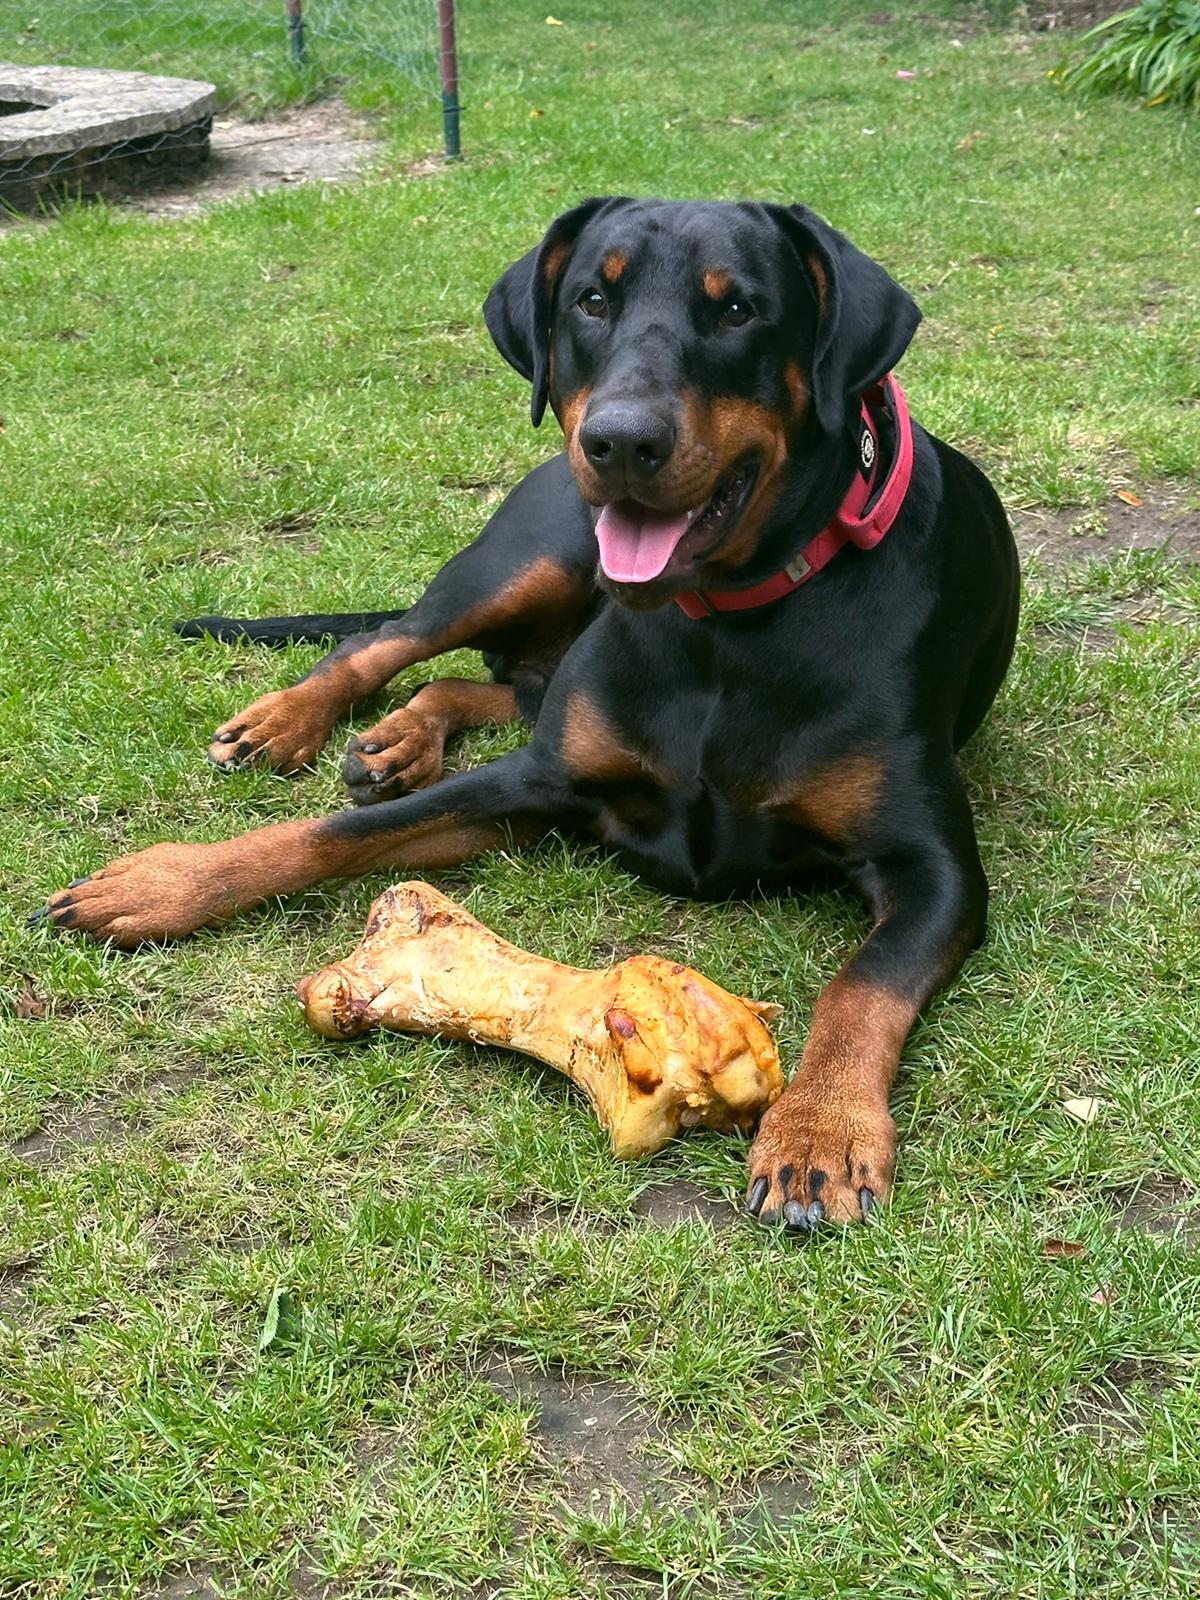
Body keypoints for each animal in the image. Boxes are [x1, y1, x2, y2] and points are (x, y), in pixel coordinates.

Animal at [35, 196, 1024, 1222]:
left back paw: (397, 741)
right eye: (591, 298)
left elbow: (861, 986)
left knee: (485, 681)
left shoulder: (931, 868)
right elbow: (330, 835)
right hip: (528, 557)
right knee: (386, 643)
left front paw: (819, 1132)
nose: (621, 443)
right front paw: (162, 885)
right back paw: (292, 723)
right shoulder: (537, 784)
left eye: (739, 308)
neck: (724, 629)